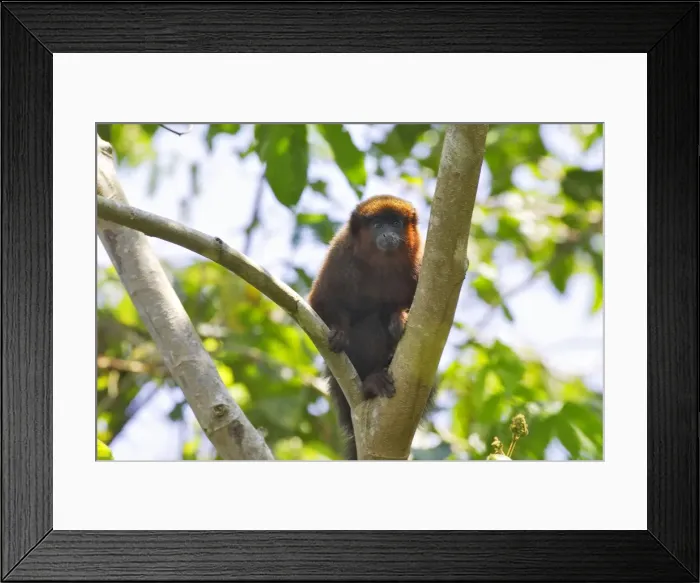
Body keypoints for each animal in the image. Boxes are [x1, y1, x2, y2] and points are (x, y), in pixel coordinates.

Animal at [307, 194, 435, 459]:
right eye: (377, 225)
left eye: (395, 223)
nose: (388, 233)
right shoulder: (340, 256)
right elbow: (321, 302)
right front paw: (339, 330)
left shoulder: (420, 262)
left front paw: (399, 317)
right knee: (369, 324)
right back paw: (371, 383)